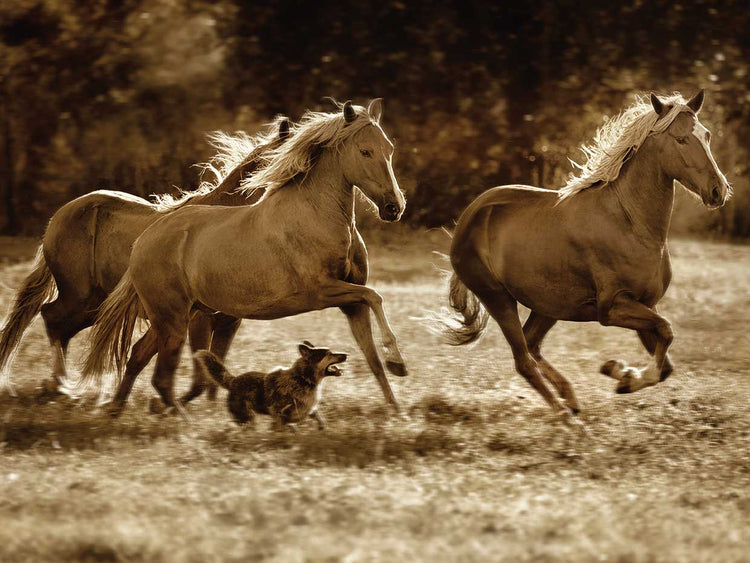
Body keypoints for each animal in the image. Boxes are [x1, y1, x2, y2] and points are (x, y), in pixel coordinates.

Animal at [0, 117, 290, 401]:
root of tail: (59, 216)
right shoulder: (200, 319)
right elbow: (200, 379)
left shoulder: (228, 323)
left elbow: (213, 381)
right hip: (78, 295)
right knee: (51, 317)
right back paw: (60, 385)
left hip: (95, 304)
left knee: (62, 329)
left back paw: (61, 386)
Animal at [82, 99, 408, 416]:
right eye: (365, 151)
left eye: (389, 150)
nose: (394, 207)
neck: (315, 216)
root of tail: (143, 240)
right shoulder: (322, 291)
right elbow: (375, 296)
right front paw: (398, 362)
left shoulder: (351, 303)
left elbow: (372, 357)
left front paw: (396, 407)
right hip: (173, 320)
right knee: (162, 377)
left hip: (177, 316)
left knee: (139, 356)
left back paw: (118, 410)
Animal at [436, 90, 730, 425]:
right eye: (681, 139)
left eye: (706, 135)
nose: (718, 190)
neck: (631, 222)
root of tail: (470, 216)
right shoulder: (613, 308)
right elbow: (667, 332)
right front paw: (622, 374)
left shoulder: (646, 305)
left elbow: (666, 361)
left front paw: (622, 376)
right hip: (498, 298)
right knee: (523, 360)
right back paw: (566, 415)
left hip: (548, 305)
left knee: (532, 344)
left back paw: (572, 399)